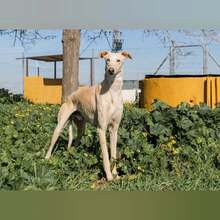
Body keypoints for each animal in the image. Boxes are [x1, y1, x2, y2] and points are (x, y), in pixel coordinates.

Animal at [43, 50, 131, 181]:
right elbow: (105, 155)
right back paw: (47, 159)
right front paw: (109, 177)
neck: (112, 91)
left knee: (75, 143)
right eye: (107, 60)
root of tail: (71, 96)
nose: (111, 70)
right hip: (60, 125)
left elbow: (114, 154)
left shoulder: (114, 129)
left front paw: (115, 174)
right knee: (52, 142)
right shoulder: (101, 129)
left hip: (81, 128)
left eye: (118, 60)